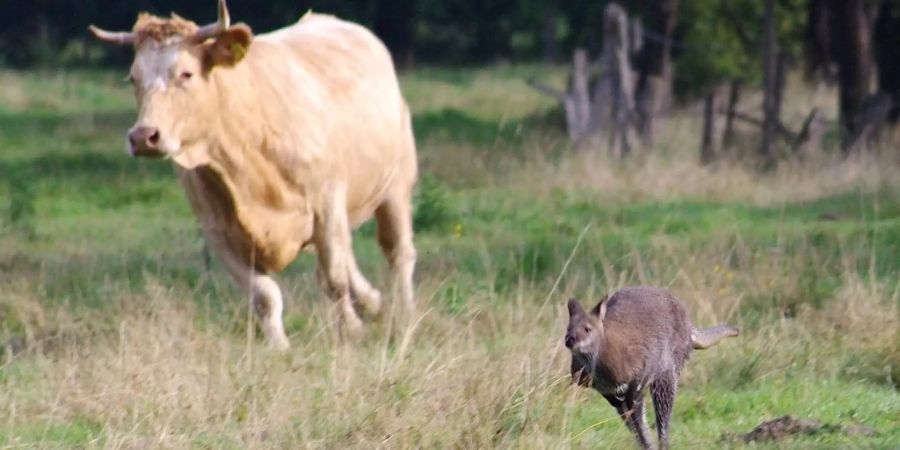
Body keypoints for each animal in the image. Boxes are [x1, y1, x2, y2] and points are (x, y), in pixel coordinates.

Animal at [88, 0, 418, 350]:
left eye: (185, 73)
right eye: (133, 78)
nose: (143, 136)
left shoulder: (326, 201)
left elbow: (334, 278)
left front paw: (352, 331)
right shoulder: (218, 230)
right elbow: (264, 295)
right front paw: (280, 347)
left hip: (396, 186)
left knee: (398, 252)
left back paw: (405, 317)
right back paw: (373, 302)